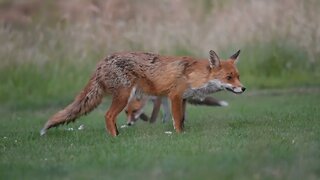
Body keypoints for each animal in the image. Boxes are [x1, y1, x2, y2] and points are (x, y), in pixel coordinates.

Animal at [40, 49, 245, 136]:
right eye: (229, 77)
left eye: (238, 76)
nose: (243, 88)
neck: (196, 75)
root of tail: (102, 62)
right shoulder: (174, 96)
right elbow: (177, 120)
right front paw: (180, 135)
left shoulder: (184, 99)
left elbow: (182, 119)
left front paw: (183, 132)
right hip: (124, 96)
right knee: (108, 116)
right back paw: (115, 137)